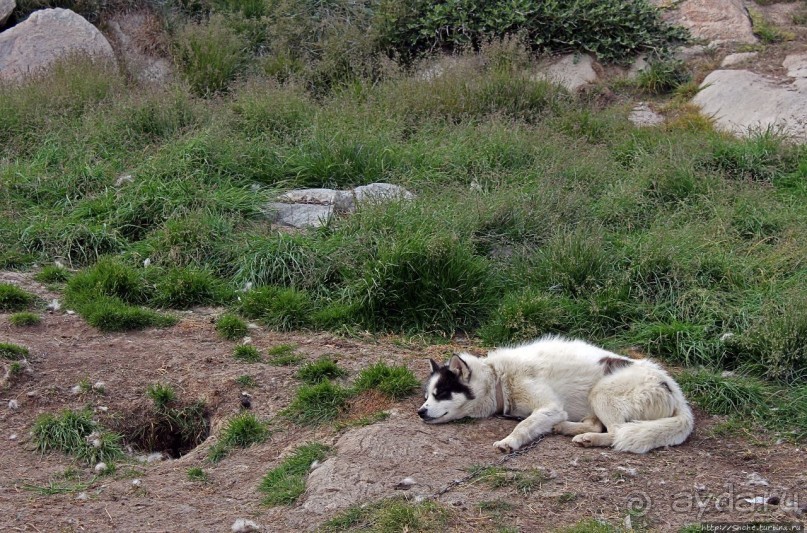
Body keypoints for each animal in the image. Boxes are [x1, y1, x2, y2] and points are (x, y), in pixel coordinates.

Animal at [416, 334, 696, 450]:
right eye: (428, 395)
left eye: (441, 393)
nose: (420, 412)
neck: (498, 378)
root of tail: (673, 388)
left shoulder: (550, 407)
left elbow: (523, 425)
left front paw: (509, 442)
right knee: (596, 425)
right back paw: (566, 429)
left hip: (601, 393)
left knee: (617, 432)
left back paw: (589, 440)